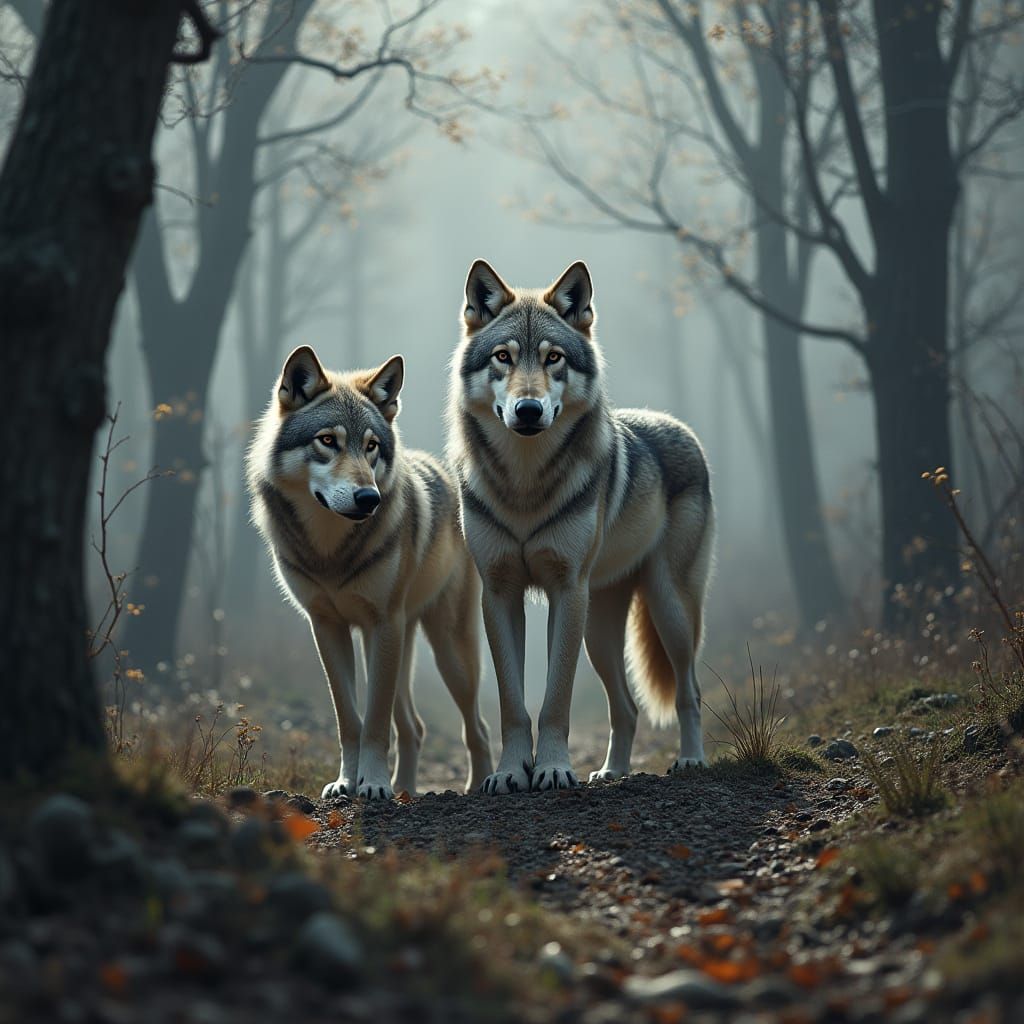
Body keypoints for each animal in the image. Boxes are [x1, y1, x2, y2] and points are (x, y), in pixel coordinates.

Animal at [247, 346, 493, 801]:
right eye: (328, 441)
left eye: (372, 446)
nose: (369, 498)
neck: (331, 551)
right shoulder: (327, 627)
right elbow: (350, 719)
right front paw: (348, 782)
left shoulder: (382, 624)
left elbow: (374, 722)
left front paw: (374, 784)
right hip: (396, 643)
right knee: (414, 727)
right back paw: (406, 789)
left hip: (445, 651)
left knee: (478, 727)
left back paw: (481, 784)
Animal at [448, 260, 714, 794]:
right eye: (504, 357)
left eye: (553, 358)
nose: (528, 410)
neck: (525, 485)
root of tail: (679, 426)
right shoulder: (499, 594)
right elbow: (512, 703)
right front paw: (510, 773)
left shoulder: (567, 591)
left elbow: (555, 698)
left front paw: (552, 768)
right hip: (599, 629)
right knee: (627, 708)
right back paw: (612, 771)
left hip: (666, 609)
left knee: (688, 690)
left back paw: (691, 760)